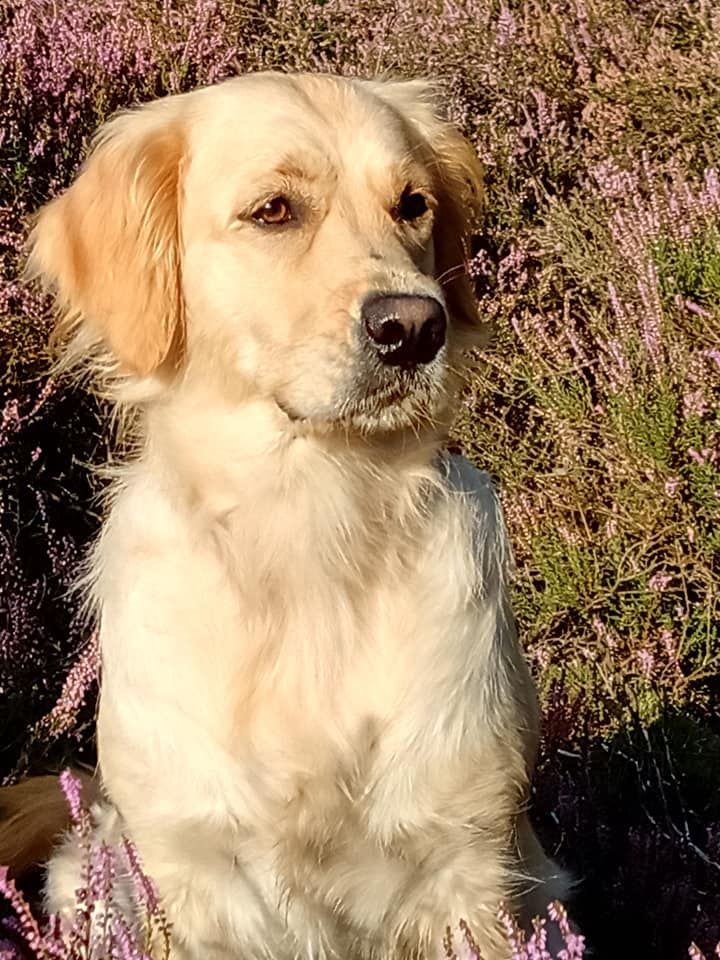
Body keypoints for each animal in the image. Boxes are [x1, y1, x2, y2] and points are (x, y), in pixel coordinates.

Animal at [3, 72, 567, 959]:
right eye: (273, 210)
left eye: (413, 204)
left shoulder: (466, 861)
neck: (310, 529)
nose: (415, 327)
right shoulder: (189, 873)